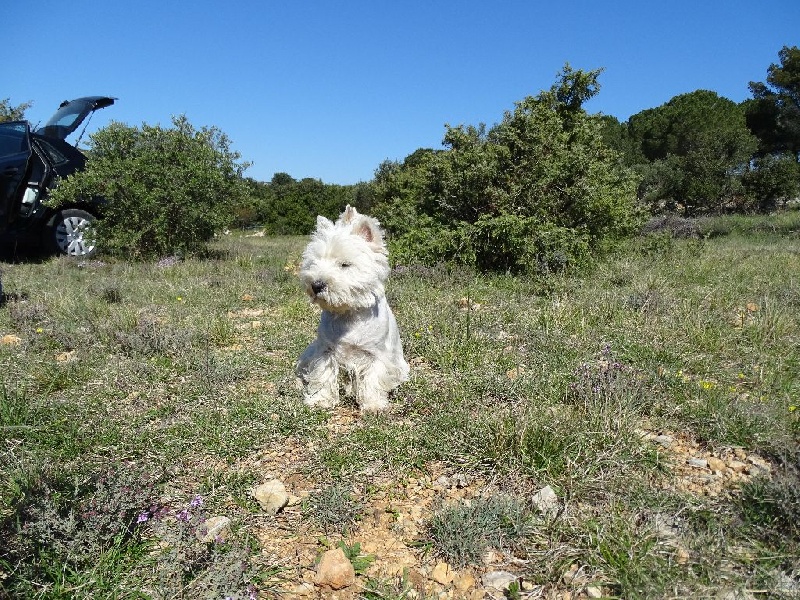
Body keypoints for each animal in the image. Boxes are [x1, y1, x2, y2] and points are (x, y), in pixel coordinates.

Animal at [294, 204, 410, 410]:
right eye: (314, 261)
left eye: (345, 264)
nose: (316, 285)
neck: (347, 314)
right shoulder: (325, 351)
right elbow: (323, 375)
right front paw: (320, 399)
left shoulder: (376, 354)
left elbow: (372, 379)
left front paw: (373, 404)